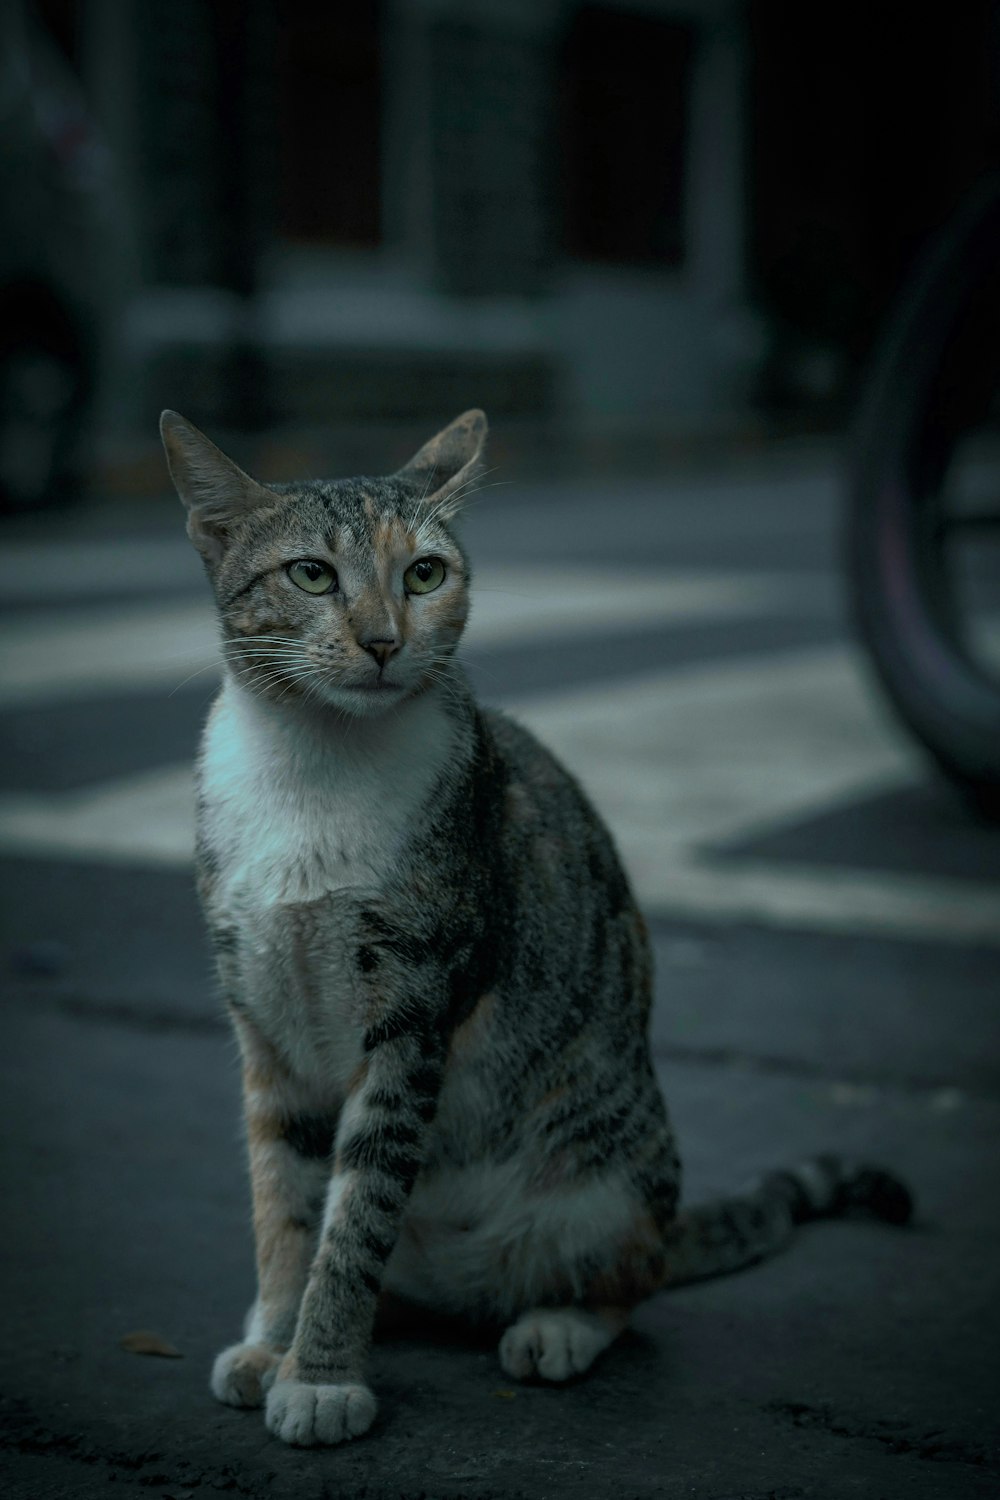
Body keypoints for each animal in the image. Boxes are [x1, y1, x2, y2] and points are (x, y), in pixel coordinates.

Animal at [158, 405, 917, 1446]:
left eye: (423, 575)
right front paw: (276, 1338)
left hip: (603, 1183)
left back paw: (557, 1325)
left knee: (628, 1279)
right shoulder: (264, 1018)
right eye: (311, 574)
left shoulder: (417, 1004)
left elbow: (355, 1216)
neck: (314, 768)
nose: (383, 639)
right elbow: (285, 1198)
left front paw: (318, 1376)